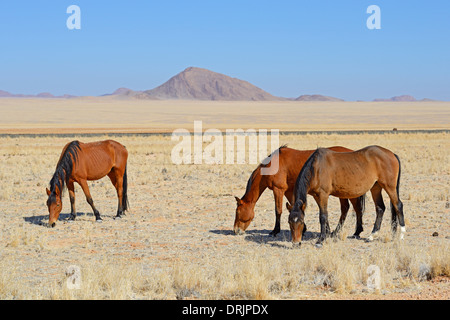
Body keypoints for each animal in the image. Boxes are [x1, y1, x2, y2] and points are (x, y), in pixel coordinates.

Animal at [236, 145, 366, 238]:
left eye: (237, 212)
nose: (236, 230)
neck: (271, 165)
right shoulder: (289, 191)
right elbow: (293, 206)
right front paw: (304, 229)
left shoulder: (278, 190)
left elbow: (278, 210)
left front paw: (275, 231)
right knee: (346, 208)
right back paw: (338, 232)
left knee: (355, 208)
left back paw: (356, 232)